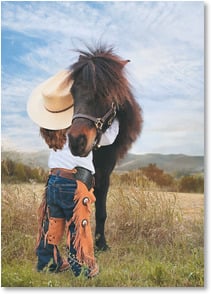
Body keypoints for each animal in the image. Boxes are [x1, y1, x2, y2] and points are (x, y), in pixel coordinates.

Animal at [67, 44, 143, 250]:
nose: (76, 141)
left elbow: (101, 210)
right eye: (73, 91)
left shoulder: (105, 173)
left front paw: (101, 243)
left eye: (107, 93)